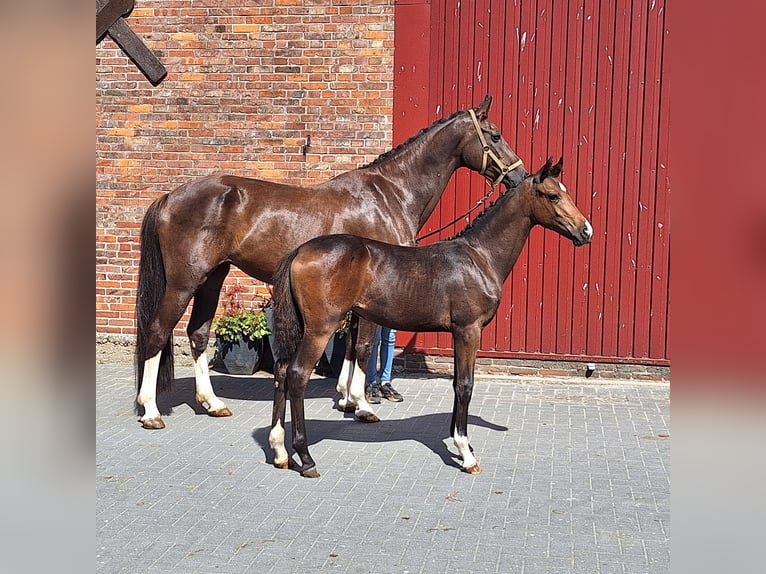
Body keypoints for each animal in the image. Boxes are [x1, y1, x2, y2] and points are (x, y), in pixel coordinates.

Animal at [134, 94, 527, 430]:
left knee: (198, 334)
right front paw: (363, 405)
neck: (391, 194)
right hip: (184, 282)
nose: (521, 176)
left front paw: (346, 399)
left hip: (213, 277)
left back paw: (212, 403)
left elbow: (351, 345)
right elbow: (365, 346)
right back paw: (150, 410)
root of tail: (170, 196)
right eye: (495, 135)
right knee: (158, 330)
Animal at [269, 157, 592, 477]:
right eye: (553, 195)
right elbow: (465, 385)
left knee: (282, 371)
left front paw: (463, 446)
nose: (586, 231)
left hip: (302, 327)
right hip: (319, 329)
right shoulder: (468, 330)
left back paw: (280, 451)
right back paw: (306, 458)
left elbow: (457, 383)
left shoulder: (459, 333)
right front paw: (466, 453)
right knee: (297, 375)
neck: (479, 256)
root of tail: (300, 250)